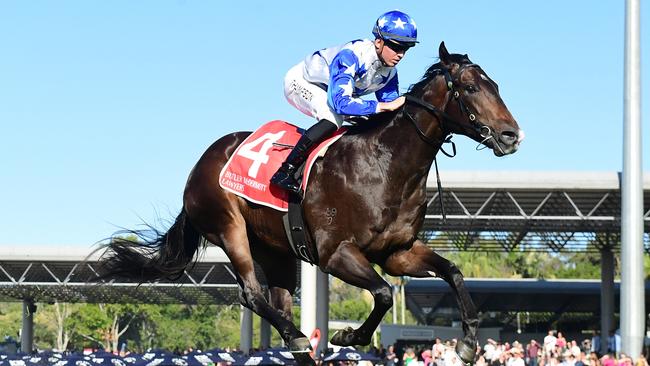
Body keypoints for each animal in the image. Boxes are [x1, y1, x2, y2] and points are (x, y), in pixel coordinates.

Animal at [100, 42, 520, 364]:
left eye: (495, 85)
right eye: (469, 87)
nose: (511, 135)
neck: (386, 166)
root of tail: (202, 162)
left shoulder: (397, 252)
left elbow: (452, 271)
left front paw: (468, 343)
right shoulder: (335, 253)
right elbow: (384, 293)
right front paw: (348, 337)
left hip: (277, 252)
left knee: (278, 300)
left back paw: (298, 342)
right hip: (229, 227)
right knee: (251, 293)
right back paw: (299, 336)